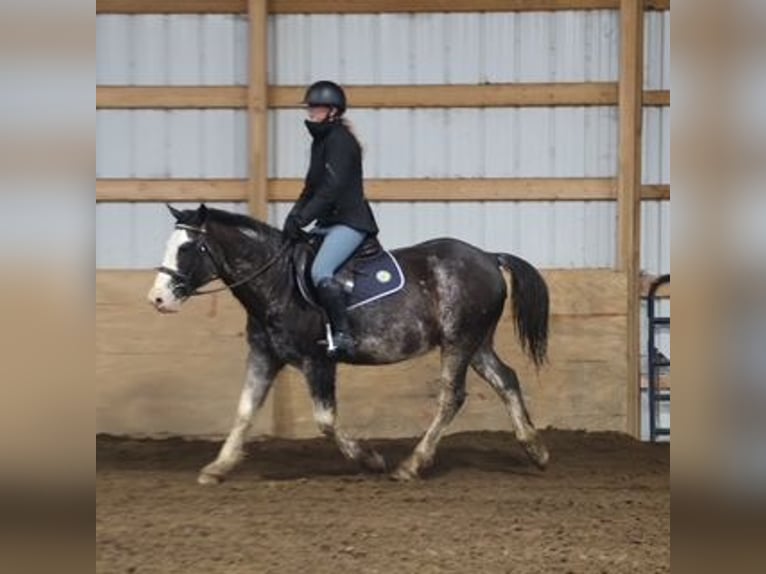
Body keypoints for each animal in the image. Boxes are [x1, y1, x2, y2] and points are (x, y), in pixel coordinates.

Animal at [147, 204, 550, 484]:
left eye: (189, 248)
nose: (158, 299)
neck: (278, 283)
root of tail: (488, 257)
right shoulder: (264, 356)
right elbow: (245, 411)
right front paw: (218, 466)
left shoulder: (318, 361)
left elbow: (325, 420)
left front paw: (370, 459)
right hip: (477, 343)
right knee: (506, 380)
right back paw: (536, 450)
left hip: (459, 342)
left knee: (452, 397)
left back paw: (410, 465)